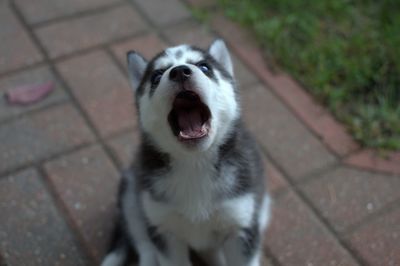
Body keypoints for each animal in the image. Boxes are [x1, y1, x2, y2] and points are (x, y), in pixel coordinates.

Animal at [101, 39, 272, 266]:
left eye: (204, 67)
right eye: (157, 76)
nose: (180, 72)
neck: (195, 162)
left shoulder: (241, 225)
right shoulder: (165, 230)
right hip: (132, 194)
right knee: (144, 244)